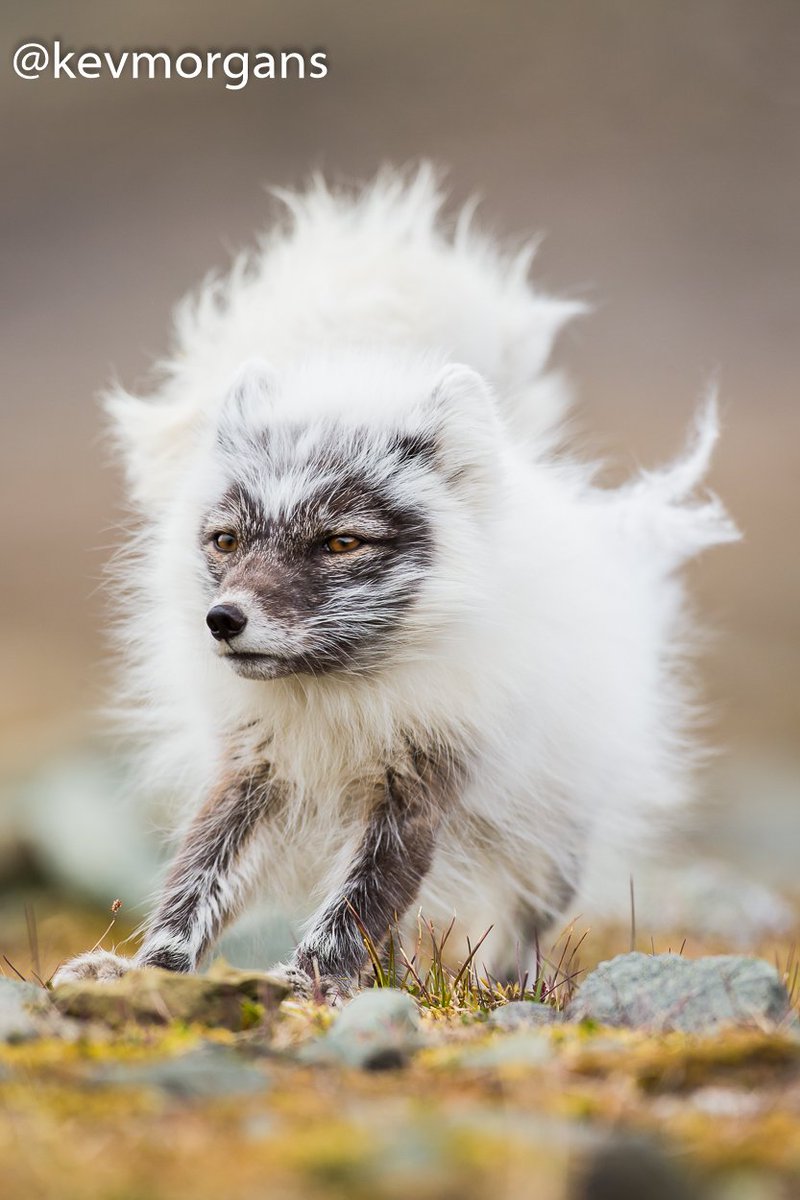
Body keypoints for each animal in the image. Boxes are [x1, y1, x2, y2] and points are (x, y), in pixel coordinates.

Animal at [53, 166, 738, 1002]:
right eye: (226, 540)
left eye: (342, 542)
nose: (223, 619)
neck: (337, 698)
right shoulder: (253, 772)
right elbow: (195, 883)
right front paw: (147, 973)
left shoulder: (418, 788)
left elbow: (356, 905)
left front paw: (304, 985)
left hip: (550, 834)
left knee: (522, 915)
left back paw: (507, 988)